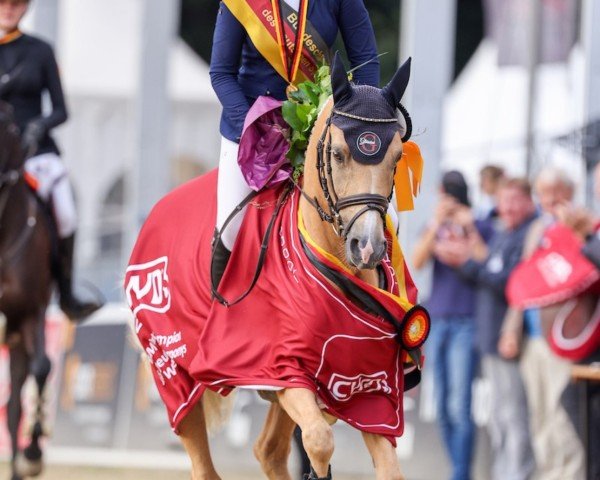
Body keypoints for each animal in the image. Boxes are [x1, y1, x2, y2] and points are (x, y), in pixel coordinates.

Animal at [125, 57, 426, 480]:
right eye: (337, 154)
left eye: (397, 158)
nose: (366, 246)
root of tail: (157, 212)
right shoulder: (281, 366)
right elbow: (319, 441)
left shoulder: (370, 387)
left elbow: (385, 466)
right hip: (174, 373)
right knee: (203, 459)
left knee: (268, 449)